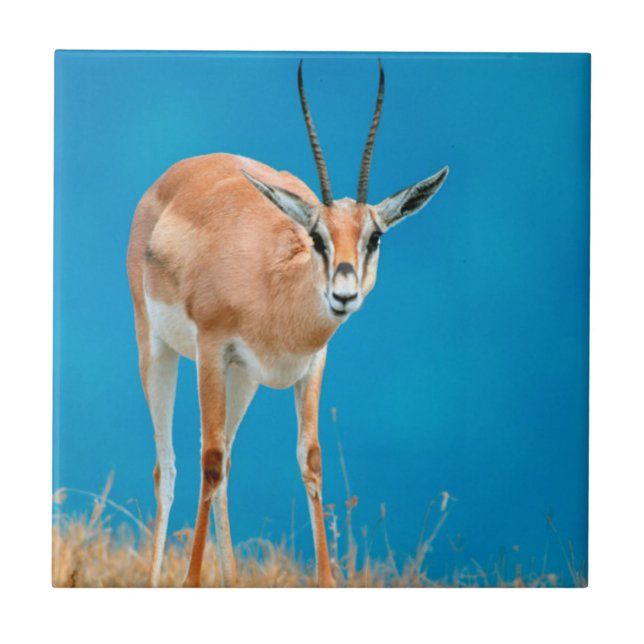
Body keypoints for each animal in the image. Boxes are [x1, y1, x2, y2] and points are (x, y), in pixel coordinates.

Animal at [127, 60, 448, 588]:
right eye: (316, 236)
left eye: (374, 237)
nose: (344, 294)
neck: (273, 289)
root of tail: (176, 173)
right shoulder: (212, 351)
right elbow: (207, 462)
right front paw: (191, 581)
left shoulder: (310, 363)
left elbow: (309, 460)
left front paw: (327, 581)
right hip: (158, 350)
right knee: (169, 466)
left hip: (243, 380)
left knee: (226, 461)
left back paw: (233, 580)